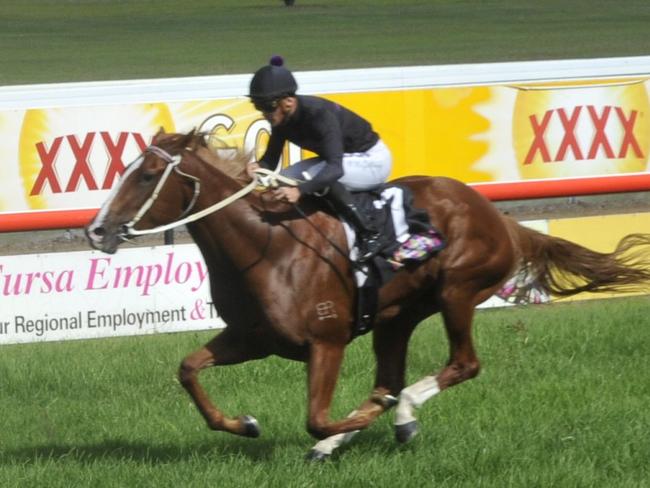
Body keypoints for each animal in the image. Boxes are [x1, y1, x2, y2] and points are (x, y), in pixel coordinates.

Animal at [86, 130, 648, 458]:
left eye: (148, 175)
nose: (96, 230)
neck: (265, 246)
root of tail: (497, 216)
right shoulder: (250, 337)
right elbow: (188, 370)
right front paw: (244, 423)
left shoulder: (326, 340)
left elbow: (315, 418)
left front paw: (343, 426)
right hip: (397, 315)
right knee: (389, 380)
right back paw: (372, 422)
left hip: (458, 290)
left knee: (460, 365)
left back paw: (399, 417)